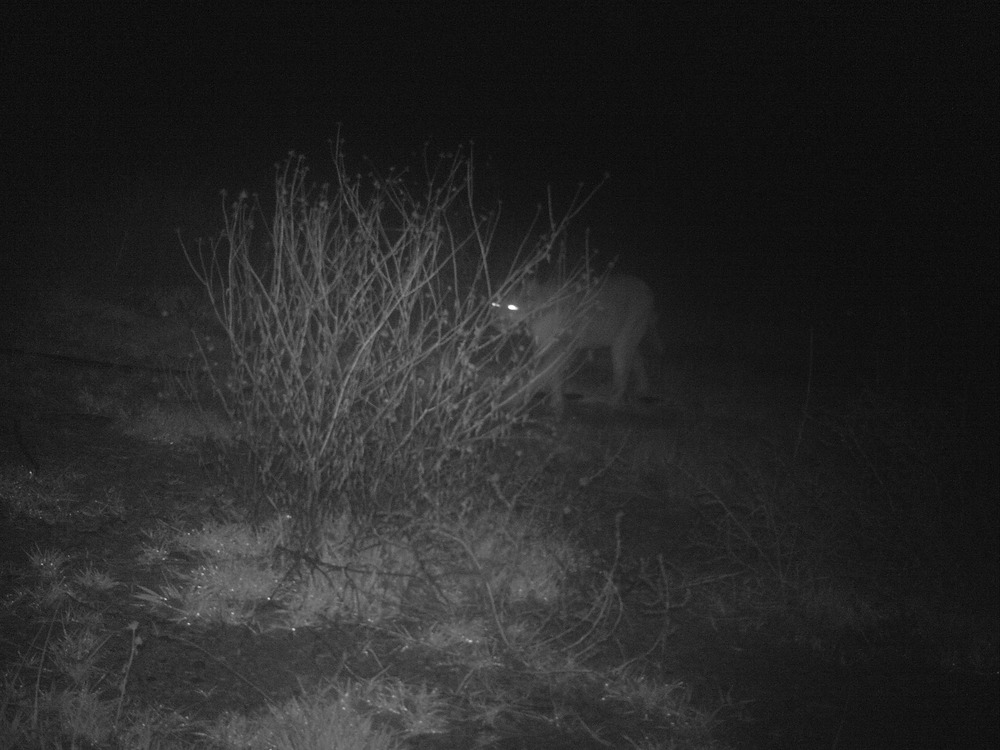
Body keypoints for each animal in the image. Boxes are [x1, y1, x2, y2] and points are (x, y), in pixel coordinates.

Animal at [493, 274, 659, 412]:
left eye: (512, 307)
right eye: (498, 305)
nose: (496, 320)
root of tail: (646, 288)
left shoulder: (562, 349)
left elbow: (544, 374)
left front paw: (511, 399)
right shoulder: (546, 347)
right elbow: (549, 375)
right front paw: (555, 401)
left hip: (623, 341)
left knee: (622, 371)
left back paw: (612, 402)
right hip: (628, 339)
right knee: (637, 360)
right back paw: (643, 389)